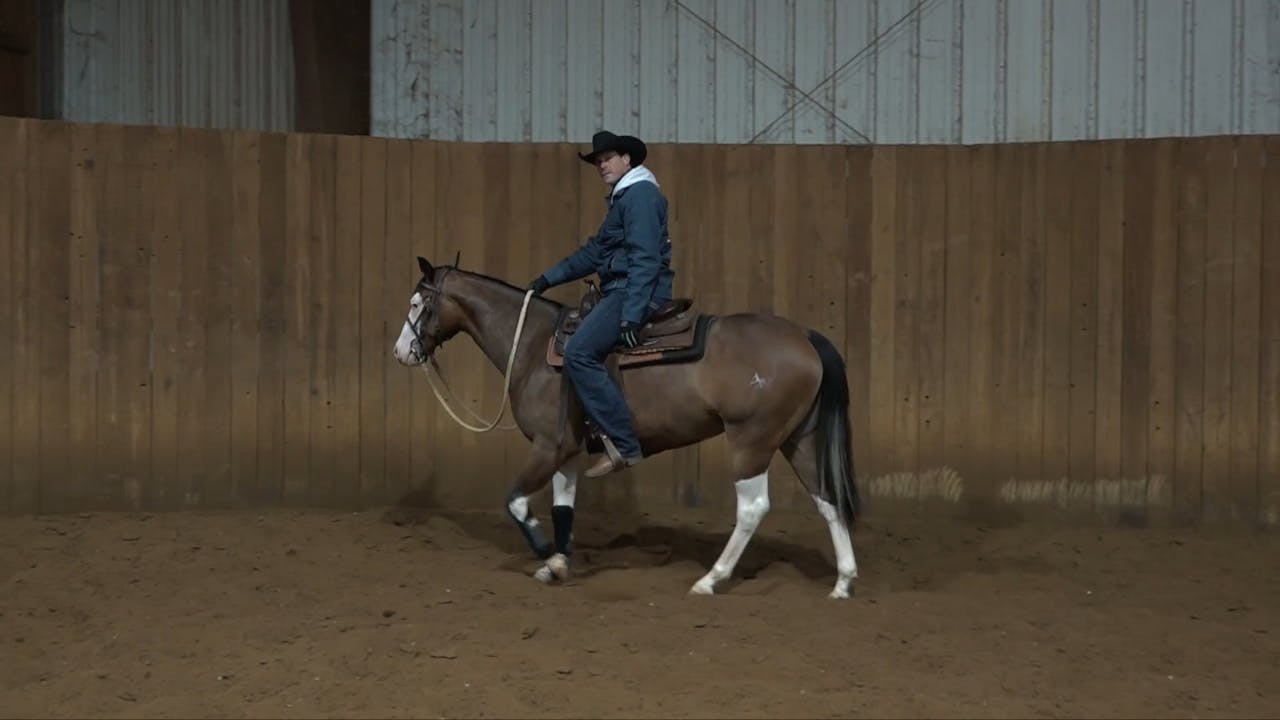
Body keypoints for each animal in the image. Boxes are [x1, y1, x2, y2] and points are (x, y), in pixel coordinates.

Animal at [392, 255, 862, 598]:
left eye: (417, 303)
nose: (401, 352)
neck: (532, 344)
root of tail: (804, 336)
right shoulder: (566, 451)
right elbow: (563, 507)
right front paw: (559, 562)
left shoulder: (546, 446)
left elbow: (516, 502)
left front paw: (546, 555)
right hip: (798, 440)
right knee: (827, 498)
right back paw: (842, 581)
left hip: (752, 441)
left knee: (752, 508)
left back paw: (710, 579)